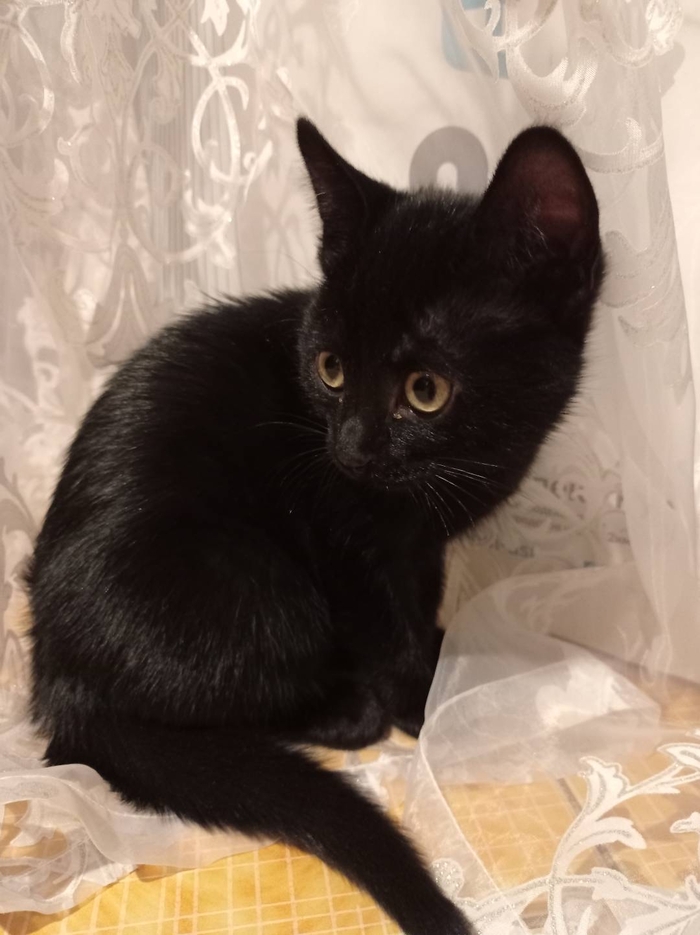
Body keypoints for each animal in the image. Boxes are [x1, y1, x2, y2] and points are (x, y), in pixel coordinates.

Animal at [26, 118, 603, 935]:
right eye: (330, 371)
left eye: (425, 390)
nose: (350, 447)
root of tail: (56, 679)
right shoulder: (349, 541)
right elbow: (387, 633)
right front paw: (423, 702)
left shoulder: (418, 549)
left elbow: (419, 603)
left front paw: (443, 651)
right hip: (259, 583)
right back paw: (346, 708)